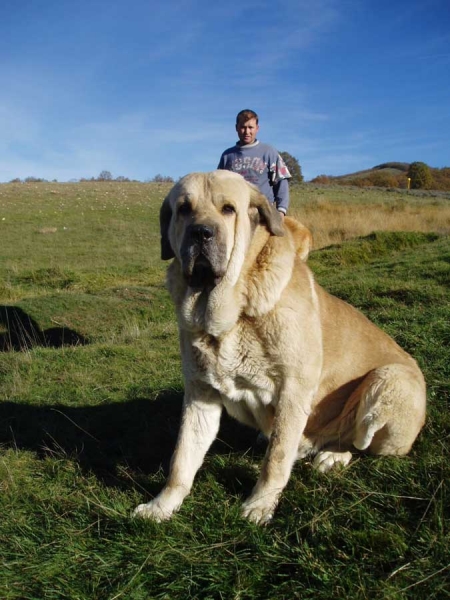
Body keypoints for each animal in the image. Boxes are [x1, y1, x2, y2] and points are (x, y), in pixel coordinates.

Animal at [133, 170, 426, 524]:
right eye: (183, 209)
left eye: (228, 209)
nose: (201, 232)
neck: (232, 312)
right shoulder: (200, 395)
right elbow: (182, 458)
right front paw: (161, 506)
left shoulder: (293, 391)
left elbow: (276, 458)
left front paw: (259, 505)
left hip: (388, 379)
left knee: (362, 443)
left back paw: (333, 456)